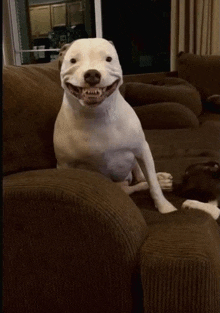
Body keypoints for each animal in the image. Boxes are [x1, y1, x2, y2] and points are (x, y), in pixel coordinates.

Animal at [52, 37, 218, 217]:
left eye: (108, 59)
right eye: (73, 61)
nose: (92, 74)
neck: (97, 114)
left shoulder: (142, 149)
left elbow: (153, 184)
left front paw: (165, 206)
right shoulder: (64, 165)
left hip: (136, 159)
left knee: (143, 176)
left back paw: (161, 179)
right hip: (121, 187)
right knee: (136, 185)